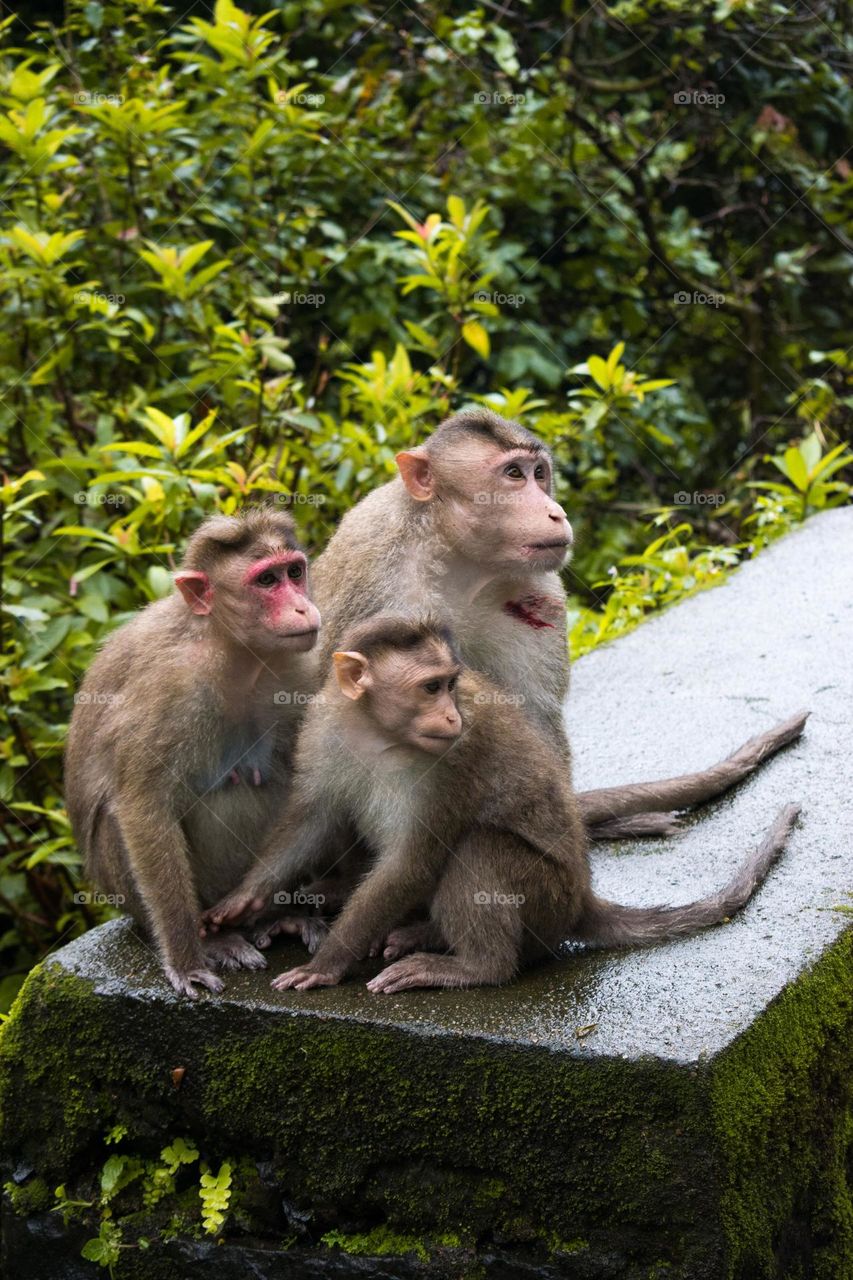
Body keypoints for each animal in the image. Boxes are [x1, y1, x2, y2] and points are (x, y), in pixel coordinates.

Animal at [64, 508, 323, 997]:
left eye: (295, 572)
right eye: (267, 581)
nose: (303, 607)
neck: (234, 654)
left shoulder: (301, 674)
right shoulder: (171, 689)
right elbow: (144, 806)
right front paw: (186, 959)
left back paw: (275, 915)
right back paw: (216, 938)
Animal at [204, 615, 801, 993]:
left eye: (450, 684)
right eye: (430, 688)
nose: (451, 716)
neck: (378, 733)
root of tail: (582, 898)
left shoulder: (452, 762)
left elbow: (410, 864)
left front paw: (327, 963)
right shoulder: (324, 729)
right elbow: (313, 819)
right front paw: (244, 899)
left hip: (546, 902)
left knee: (480, 848)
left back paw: (475, 968)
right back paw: (424, 933)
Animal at [307, 409, 808, 840]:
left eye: (539, 473)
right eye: (513, 474)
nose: (556, 511)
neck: (454, 554)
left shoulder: (536, 588)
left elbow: (529, 713)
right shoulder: (377, 575)